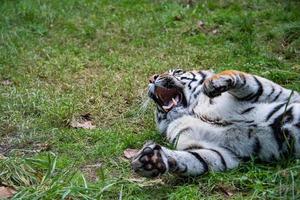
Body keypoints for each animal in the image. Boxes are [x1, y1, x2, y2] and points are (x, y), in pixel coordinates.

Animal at [131, 68, 300, 177]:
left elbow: (250, 80)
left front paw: (213, 82)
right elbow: (196, 159)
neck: (192, 110)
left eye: (177, 72)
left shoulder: (286, 95)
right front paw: (152, 161)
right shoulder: (224, 153)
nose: (152, 78)